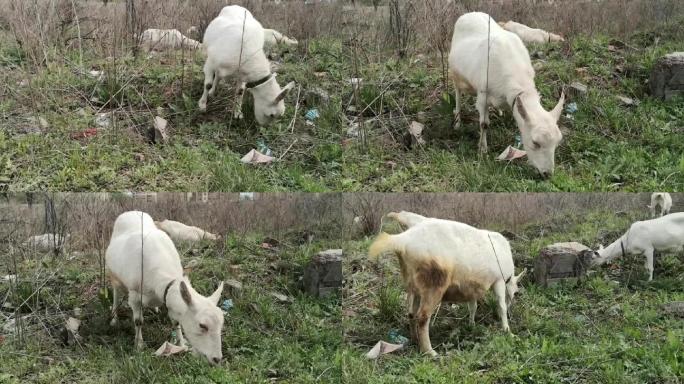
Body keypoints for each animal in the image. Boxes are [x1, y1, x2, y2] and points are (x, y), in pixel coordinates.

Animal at [105, 210, 224, 364]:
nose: (217, 359)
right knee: (116, 294)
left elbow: (176, 322)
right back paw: (114, 318)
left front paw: (182, 344)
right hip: (113, 275)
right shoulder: (134, 295)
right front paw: (139, 345)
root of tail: (131, 212)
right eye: (202, 325)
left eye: (221, 324)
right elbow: (138, 321)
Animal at [368, 218, 524, 356]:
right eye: (516, 292)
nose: (512, 306)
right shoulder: (499, 280)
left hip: (414, 286)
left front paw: (472, 325)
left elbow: (473, 307)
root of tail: (403, 240)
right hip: (434, 284)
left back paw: (415, 339)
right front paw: (508, 330)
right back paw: (429, 351)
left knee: (411, 313)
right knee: (422, 317)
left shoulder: (471, 288)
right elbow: (501, 306)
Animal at [446, 12, 564, 177]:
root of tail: (469, 14)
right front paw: (482, 149)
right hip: (455, 73)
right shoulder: (482, 95)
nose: (547, 174)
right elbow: (484, 123)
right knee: (457, 93)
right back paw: (457, 121)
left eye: (557, 142)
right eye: (535, 142)